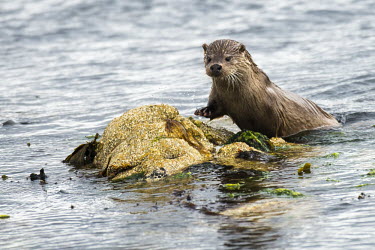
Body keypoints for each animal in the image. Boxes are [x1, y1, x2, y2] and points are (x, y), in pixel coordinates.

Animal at [195, 39, 340, 138]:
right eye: (209, 58)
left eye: (228, 58)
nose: (215, 66)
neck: (240, 98)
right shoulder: (217, 96)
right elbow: (216, 109)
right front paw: (203, 111)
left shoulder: (273, 109)